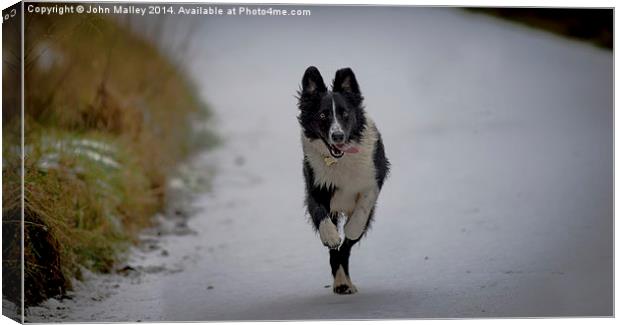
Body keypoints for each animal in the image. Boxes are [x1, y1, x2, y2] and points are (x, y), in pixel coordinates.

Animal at [298, 66, 390, 294]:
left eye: (345, 114)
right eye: (323, 115)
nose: (338, 136)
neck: (341, 159)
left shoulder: (374, 177)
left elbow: (363, 208)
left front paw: (352, 228)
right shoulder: (315, 186)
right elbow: (319, 212)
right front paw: (330, 236)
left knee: (346, 248)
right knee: (336, 252)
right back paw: (341, 282)